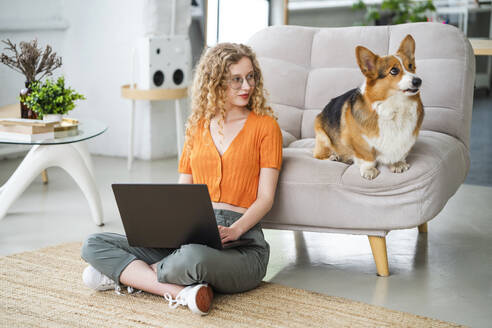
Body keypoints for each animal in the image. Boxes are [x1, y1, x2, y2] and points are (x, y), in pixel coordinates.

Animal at [316, 34, 422, 179]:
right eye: (394, 70)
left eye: (410, 66)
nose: (418, 81)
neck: (396, 106)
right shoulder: (357, 141)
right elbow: (367, 157)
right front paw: (369, 170)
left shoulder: (406, 138)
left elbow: (399, 152)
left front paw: (397, 163)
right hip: (323, 137)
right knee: (318, 155)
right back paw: (334, 156)